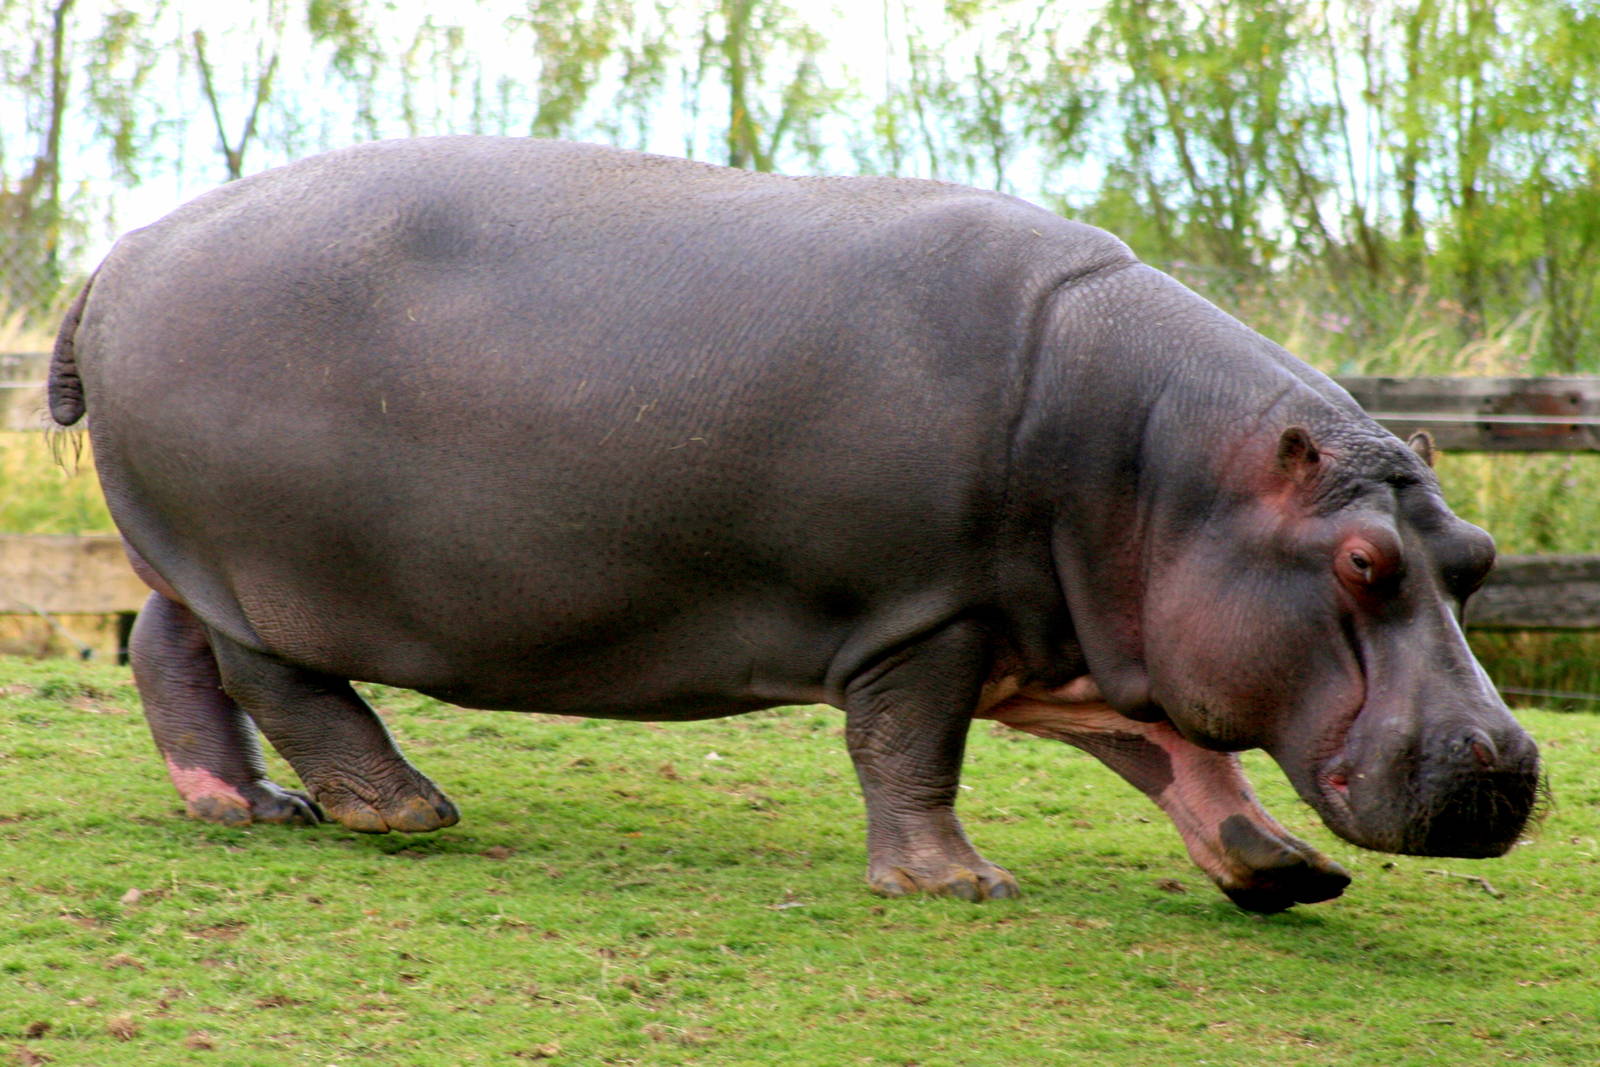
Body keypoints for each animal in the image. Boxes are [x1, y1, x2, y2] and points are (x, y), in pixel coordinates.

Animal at [50, 137, 1539, 913]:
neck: (1175, 468)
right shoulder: (928, 612)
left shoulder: (1103, 631)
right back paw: (401, 806)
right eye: (1362, 561)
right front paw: (957, 885)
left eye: (1475, 559)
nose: (1506, 764)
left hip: (187, 553)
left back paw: (251, 808)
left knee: (169, 655)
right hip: (260, 566)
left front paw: (1281, 875)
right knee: (278, 676)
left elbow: (1187, 754)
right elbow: (911, 749)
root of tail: (118, 253)